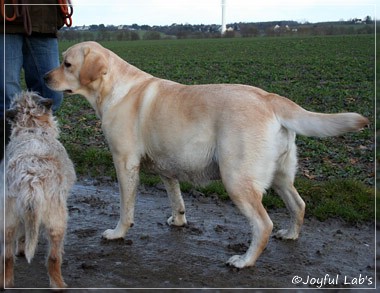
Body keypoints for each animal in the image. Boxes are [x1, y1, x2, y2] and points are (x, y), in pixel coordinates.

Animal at [2, 92, 75, 288]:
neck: (32, 127)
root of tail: (31, 180)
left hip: (7, 220)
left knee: (6, 256)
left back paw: (6, 281)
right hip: (58, 221)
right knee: (53, 258)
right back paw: (59, 284)